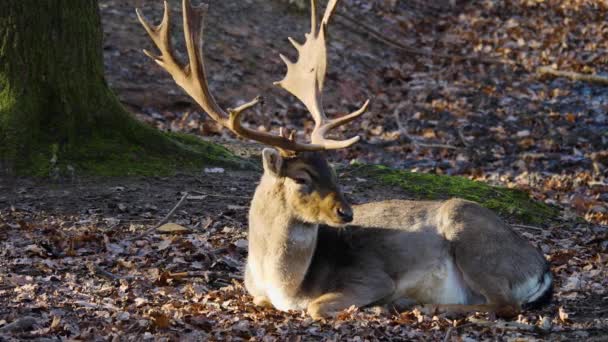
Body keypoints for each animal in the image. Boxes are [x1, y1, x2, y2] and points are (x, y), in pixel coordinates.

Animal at [137, 0, 552, 320]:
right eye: (302, 176)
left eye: (333, 170)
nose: (346, 212)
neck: (283, 284)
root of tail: (541, 267)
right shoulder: (254, 291)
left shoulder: (370, 277)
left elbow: (316, 307)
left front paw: (380, 304)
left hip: (470, 236)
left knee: (505, 304)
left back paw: (422, 306)